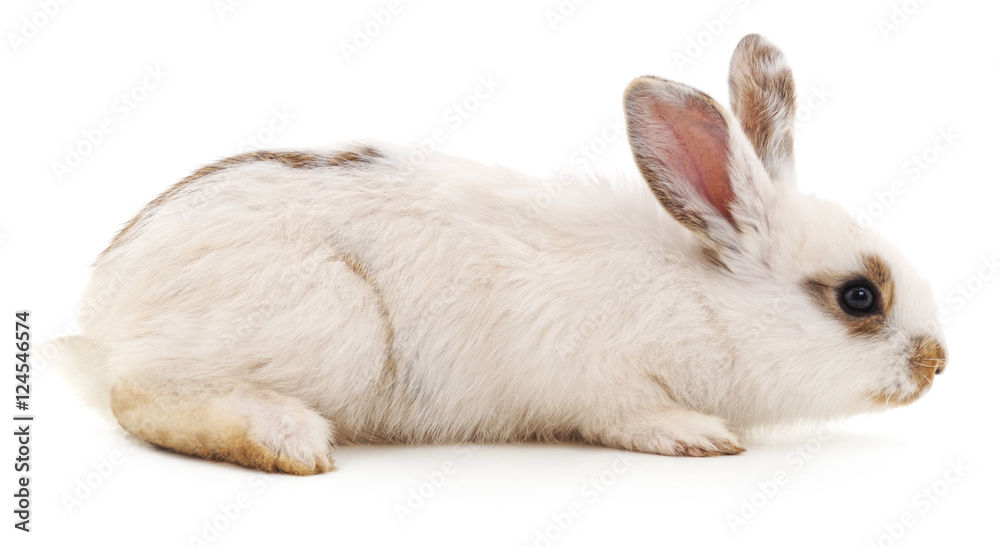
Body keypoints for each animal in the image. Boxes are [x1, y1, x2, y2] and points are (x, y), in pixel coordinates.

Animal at [61, 34, 947, 475]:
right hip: (332, 324)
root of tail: (104, 314)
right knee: (141, 395)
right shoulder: (602, 374)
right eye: (859, 296)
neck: (707, 297)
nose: (937, 362)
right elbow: (630, 413)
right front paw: (696, 436)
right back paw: (286, 439)